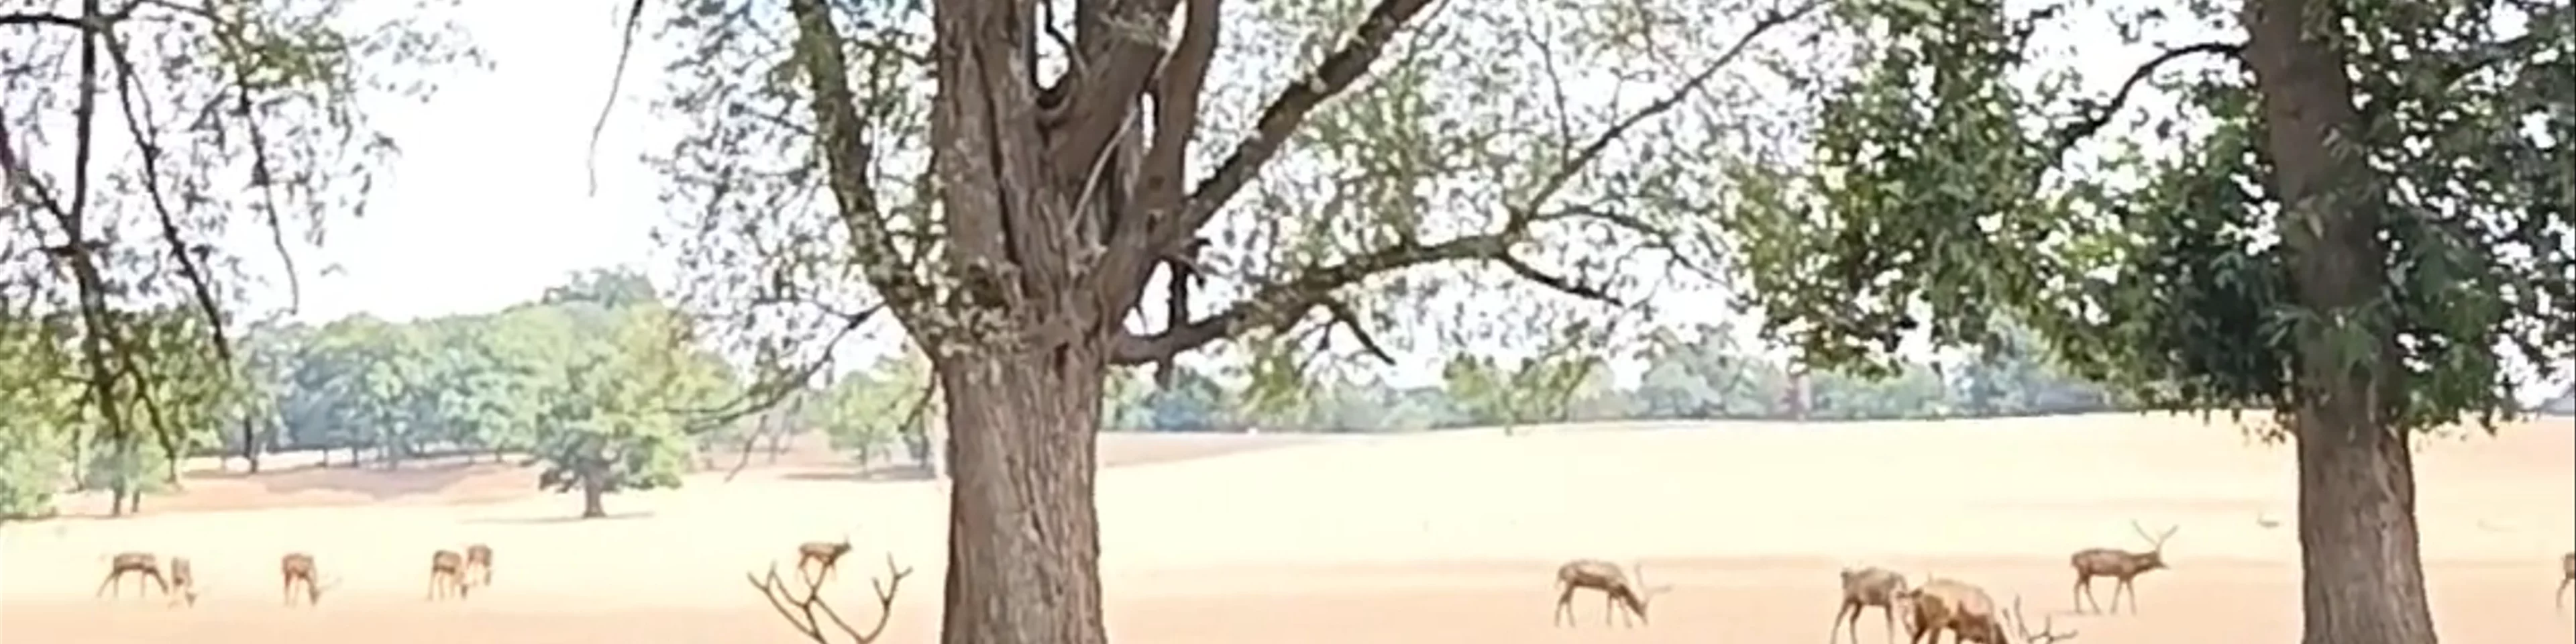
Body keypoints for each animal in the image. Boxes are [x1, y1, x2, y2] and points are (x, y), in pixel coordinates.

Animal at [1551, 558, 1670, 628]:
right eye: (1641, 608)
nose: (1646, 622)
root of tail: (1561, 569)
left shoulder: (1610, 592)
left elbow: (1609, 606)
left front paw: (1609, 624)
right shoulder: (1614, 590)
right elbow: (1622, 605)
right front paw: (1629, 625)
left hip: (1573, 587)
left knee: (1565, 601)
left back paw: (1567, 624)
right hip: (1570, 585)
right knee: (1564, 601)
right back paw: (1563, 624)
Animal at [1903, 578, 2077, 644]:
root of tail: (1921, 590)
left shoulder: (1963, 634)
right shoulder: (1986, 635)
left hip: (1922, 623)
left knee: (1914, 638)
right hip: (1937, 623)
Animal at [2069, 521, 2177, 614]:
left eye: (2159, 557)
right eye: (2156, 558)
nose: (2165, 565)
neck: (2134, 565)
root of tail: (2073, 558)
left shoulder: (2124, 577)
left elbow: (2125, 591)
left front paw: (2124, 610)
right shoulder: (2124, 575)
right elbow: (2123, 591)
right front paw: (2123, 611)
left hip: (2088, 573)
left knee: (2083, 588)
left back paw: (2092, 610)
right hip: (2084, 571)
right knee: (2079, 587)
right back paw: (2083, 610)